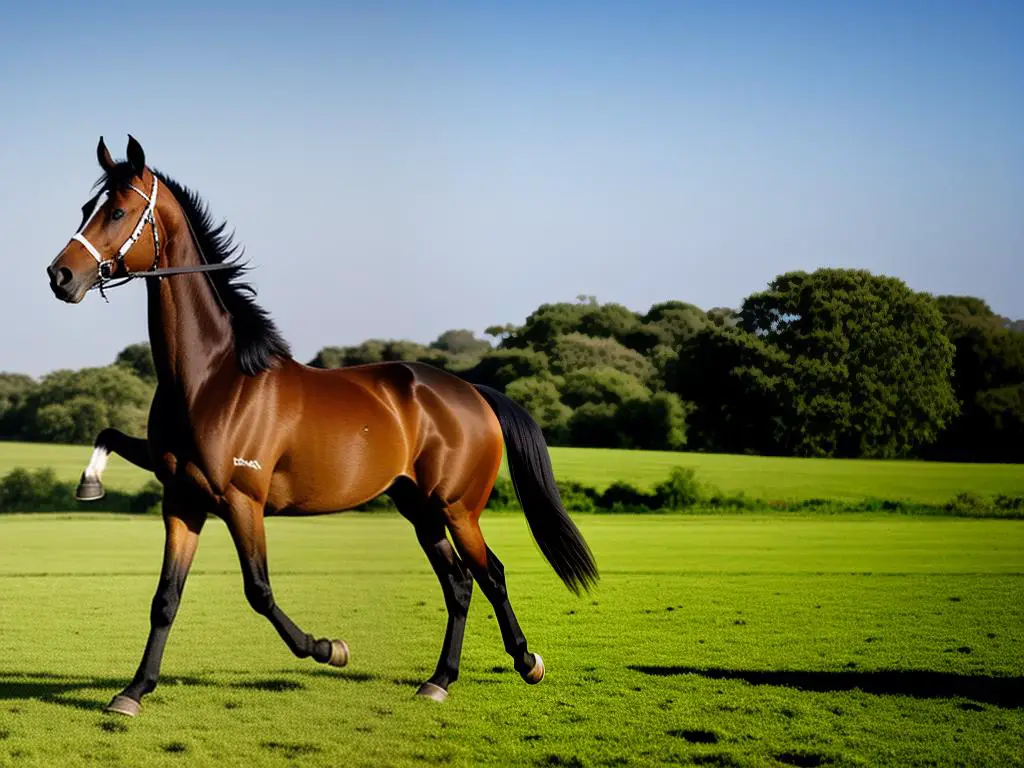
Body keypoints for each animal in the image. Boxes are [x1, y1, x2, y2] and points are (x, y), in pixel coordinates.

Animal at [44, 135, 598, 720]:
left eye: (118, 211)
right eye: (88, 207)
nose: (60, 276)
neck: (211, 379)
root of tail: (472, 392)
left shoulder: (242, 501)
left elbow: (259, 591)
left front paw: (330, 649)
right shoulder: (182, 500)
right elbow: (165, 597)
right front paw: (133, 691)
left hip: (457, 508)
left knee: (490, 574)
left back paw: (526, 661)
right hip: (419, 508)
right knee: (459, 582)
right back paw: (439, 679)